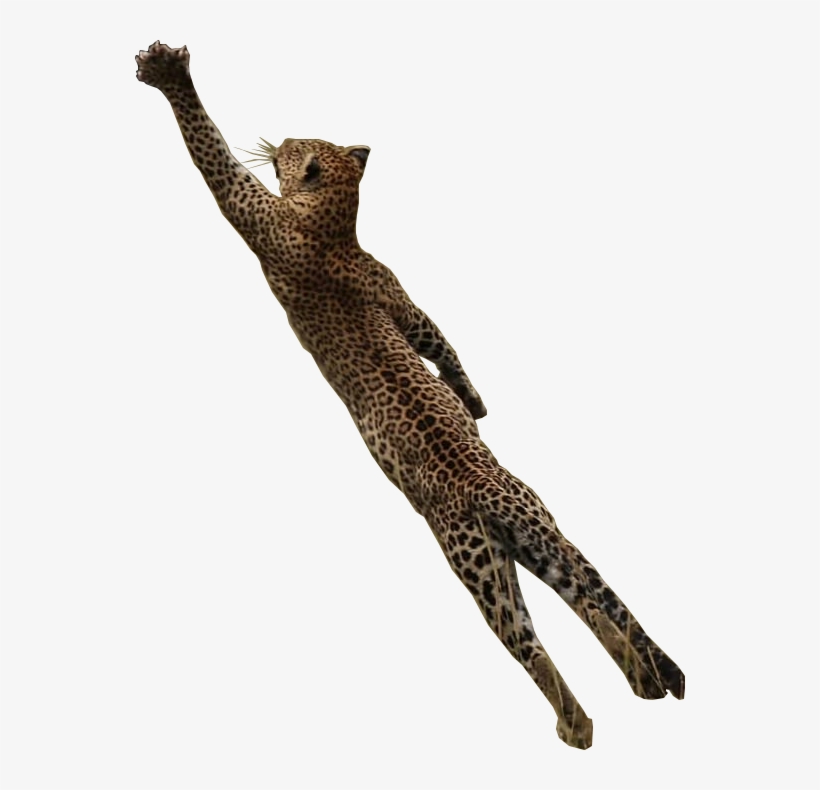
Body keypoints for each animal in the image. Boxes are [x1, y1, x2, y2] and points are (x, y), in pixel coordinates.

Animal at [135, 40, 684, 749]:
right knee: (587, 599)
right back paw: (635, 678)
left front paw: (170, 77)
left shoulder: (254, 213)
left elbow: (213, 155)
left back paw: (577, 725)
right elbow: (435, 336)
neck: (335, 225)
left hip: (469, 558)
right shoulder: (395, 290)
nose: (277, 136)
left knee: (529, 643)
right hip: (525, 540)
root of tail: (489, 489)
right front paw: (473, 405)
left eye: (295, 143)